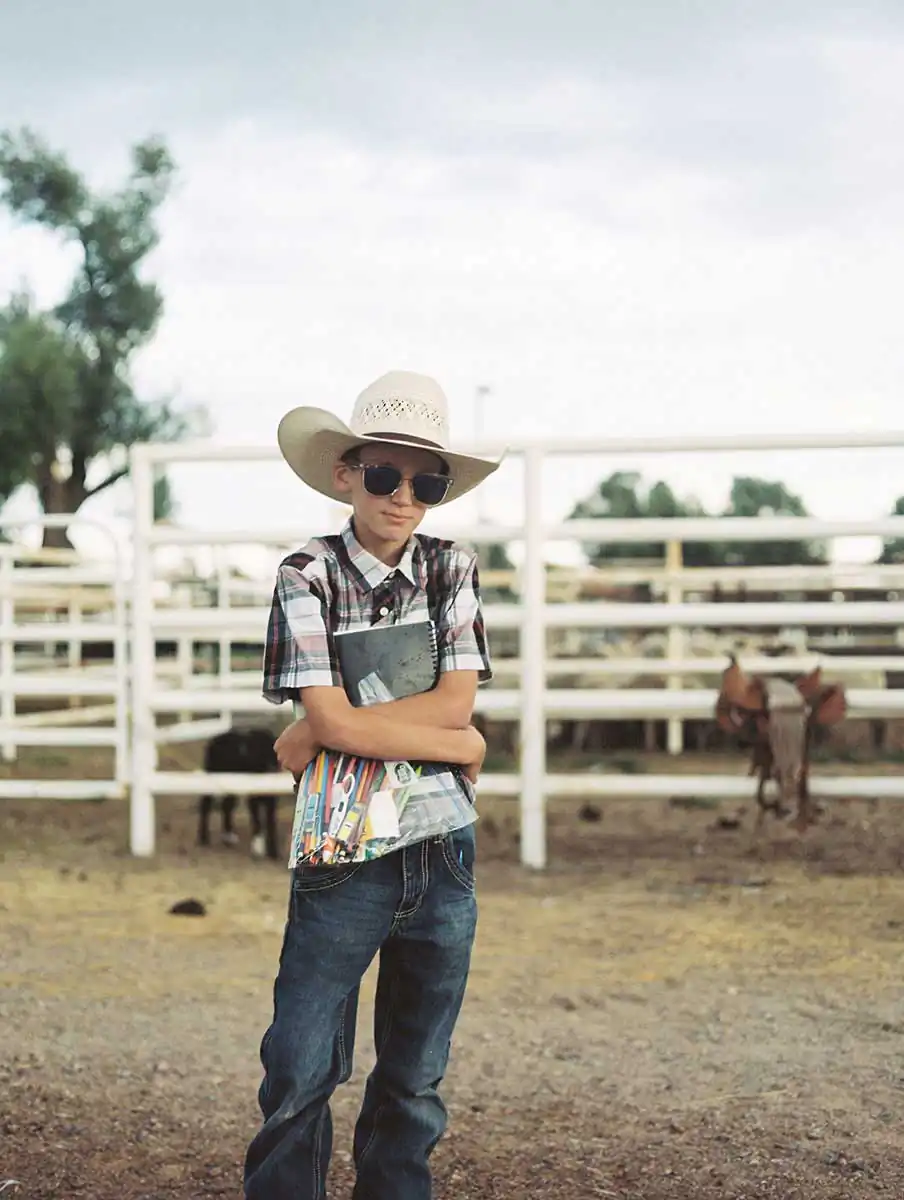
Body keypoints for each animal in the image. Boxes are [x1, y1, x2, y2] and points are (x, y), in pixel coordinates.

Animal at [197, 727, 281, 860]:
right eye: (255, 753)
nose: (271, 768)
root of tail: (214, 740)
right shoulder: (253, 798)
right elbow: (257, 821)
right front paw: (258, 849)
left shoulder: (271, 800)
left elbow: (270, 822)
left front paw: (273, 852)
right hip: (212, 776)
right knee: (206, 804)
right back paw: (204, 839)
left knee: (226, 805)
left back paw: (228, 837)